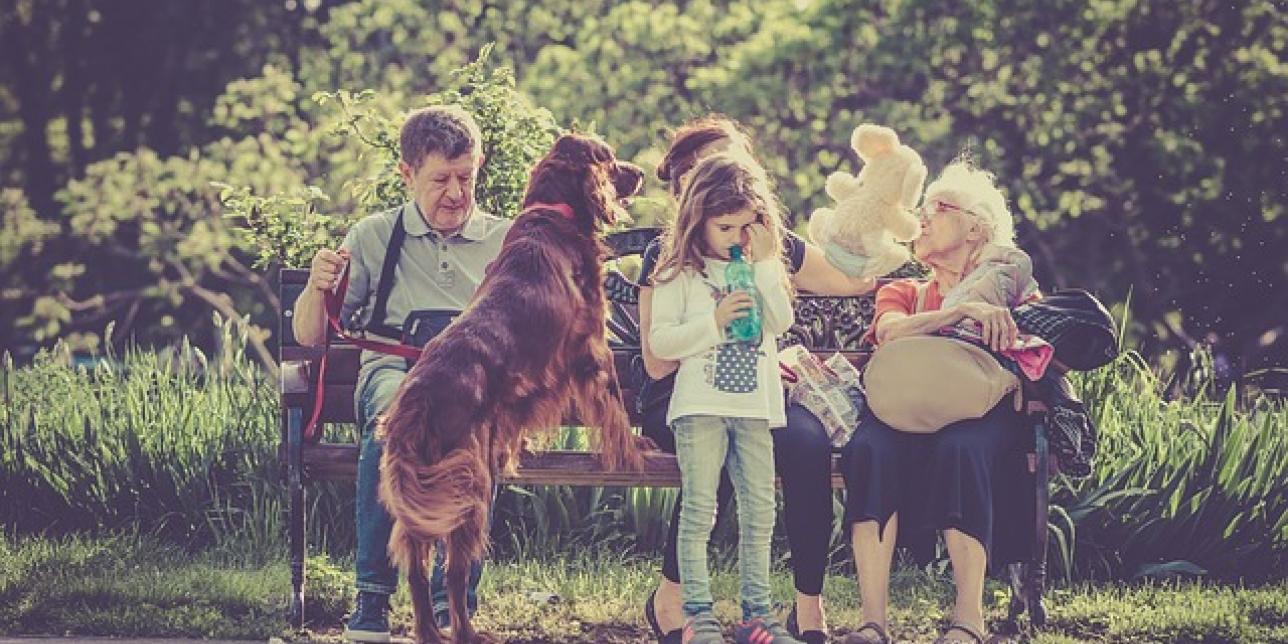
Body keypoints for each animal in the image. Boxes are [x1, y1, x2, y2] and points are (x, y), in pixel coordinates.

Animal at [376, 132, 649, 644]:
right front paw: (635, 449)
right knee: (454, 572)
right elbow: (614, 403)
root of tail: (416, 399)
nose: (641, 171)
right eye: (608, 156)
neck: (553, 213)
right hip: (467, 487)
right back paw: (466, 633)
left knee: (418, 569)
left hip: (431, 492)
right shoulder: (591, 345)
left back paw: (428, 631)